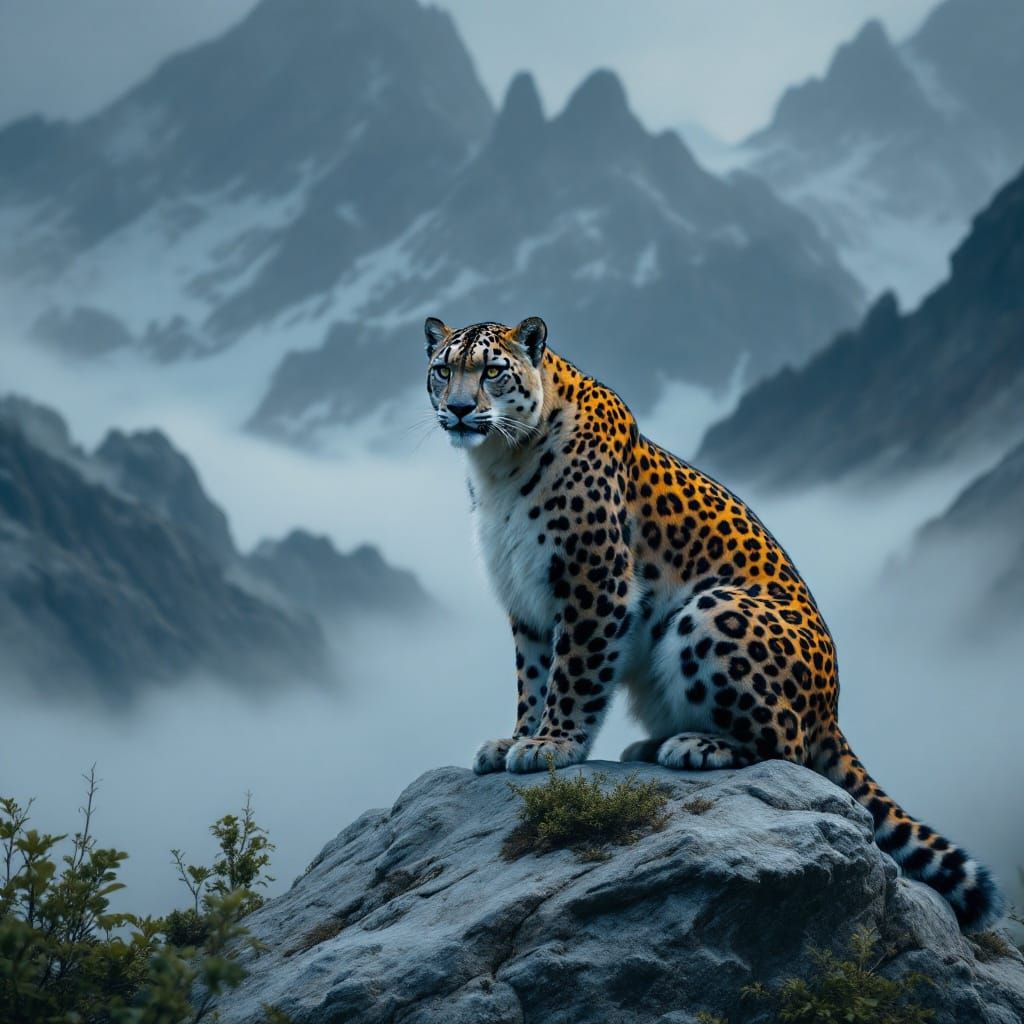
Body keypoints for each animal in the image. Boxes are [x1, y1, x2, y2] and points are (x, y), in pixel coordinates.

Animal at [422, 314, 1004, 931]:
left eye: (491, 371)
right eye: (443, 371)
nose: (459, 409)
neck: (497, 464)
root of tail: (832, 708)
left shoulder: (595, 582)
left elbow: (572, 676)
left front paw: (551, 746)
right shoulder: (527, 603)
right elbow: (531, 680)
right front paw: (516, 738)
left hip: (713, 610)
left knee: (789, 747)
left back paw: (694, 747)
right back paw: (651, 745)